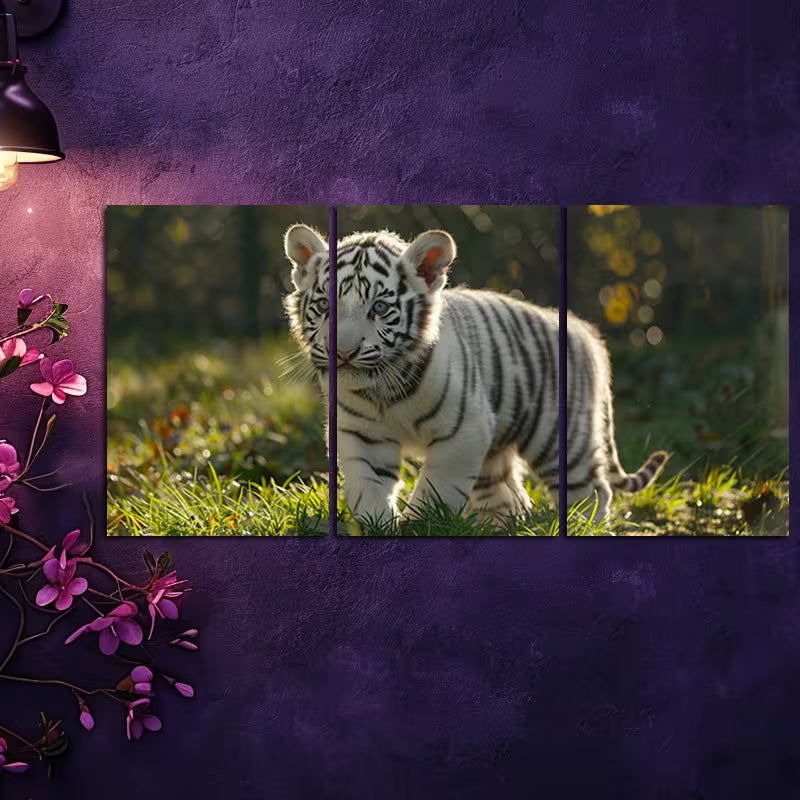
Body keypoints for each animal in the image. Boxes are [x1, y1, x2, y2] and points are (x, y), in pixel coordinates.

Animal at [283, 223, 668, 529]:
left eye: (379, 307)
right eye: (325, 306)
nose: (343, 352)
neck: (383, 390)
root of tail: (586, 332)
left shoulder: (464, 431)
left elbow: (437, 487)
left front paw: (418, 524)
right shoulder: (363, 434)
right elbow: (369, 485)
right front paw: (375, 525)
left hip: (559, 436)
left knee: (592, 488)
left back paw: (581, 525)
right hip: (497, 452)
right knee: (509, 494)